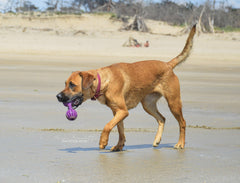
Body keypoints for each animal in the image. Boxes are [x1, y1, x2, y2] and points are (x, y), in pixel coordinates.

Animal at [56, 24, 197, 151]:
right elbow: (120, 130)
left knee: (182, 122)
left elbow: (107, 126)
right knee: (162, 119)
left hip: (173, 102)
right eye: (65, 83)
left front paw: (103, 141)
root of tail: (168, 65)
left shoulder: (123, 111)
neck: (104, 81)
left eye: (72, 85)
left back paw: (180, 144)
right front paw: (119, 146)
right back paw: (157, 140)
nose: (58, 96)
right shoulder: (117, 112)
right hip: (148, 104)